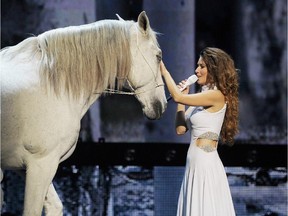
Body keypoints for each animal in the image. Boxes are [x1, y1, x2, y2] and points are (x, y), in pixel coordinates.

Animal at [0, 12, 166, 216]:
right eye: (158, 56)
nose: (162, 105)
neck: (51, 84)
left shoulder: (28, 167)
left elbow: (55, 206)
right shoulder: (40, 165)